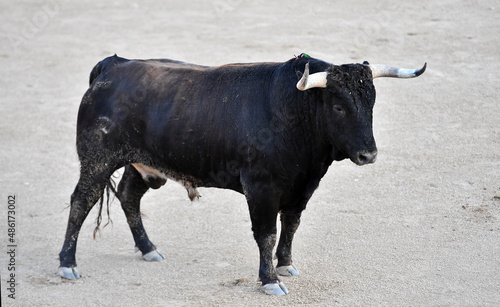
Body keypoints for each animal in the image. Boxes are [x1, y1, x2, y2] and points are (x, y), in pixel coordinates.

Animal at [59, 53, 426, 296]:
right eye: (338, 107)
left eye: (371, 104)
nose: (368, 155)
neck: (294, 110)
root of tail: (112, 65)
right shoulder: (261, 189)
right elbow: (266, 233)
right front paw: (270, 281)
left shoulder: (303, 186)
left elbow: (291, 225)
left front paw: (285, 265)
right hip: (97, 160)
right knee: (81, 201)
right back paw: (67, 264)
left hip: (144, 166)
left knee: (129, 196)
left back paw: (149, 248)